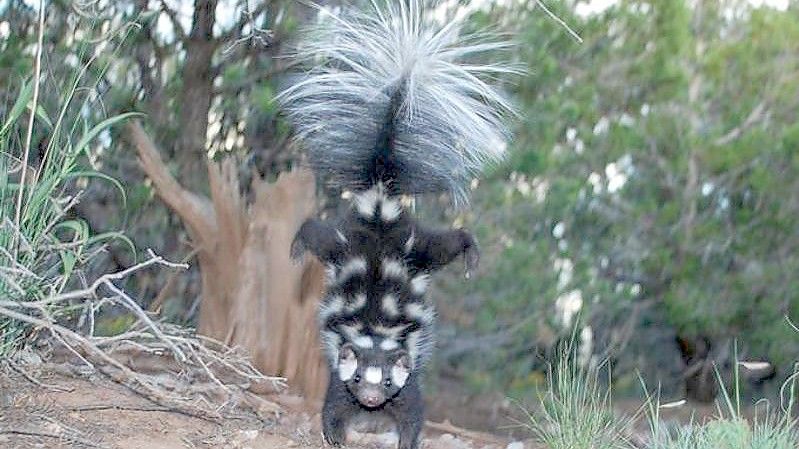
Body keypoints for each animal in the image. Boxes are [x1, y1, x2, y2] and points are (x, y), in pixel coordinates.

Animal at [282, 1, 516, 446]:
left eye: (388, 382)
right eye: (358, 379)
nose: (372, 401)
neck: (375, 333)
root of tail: (379, 205)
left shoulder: (409, 385)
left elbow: (412, 415)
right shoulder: (338, 381)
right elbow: (332, 411)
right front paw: (338, 437)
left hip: (416, 247)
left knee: (448, 242)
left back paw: (470, 252)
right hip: (348, 243)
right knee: (314, 232)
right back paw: (297, 248)